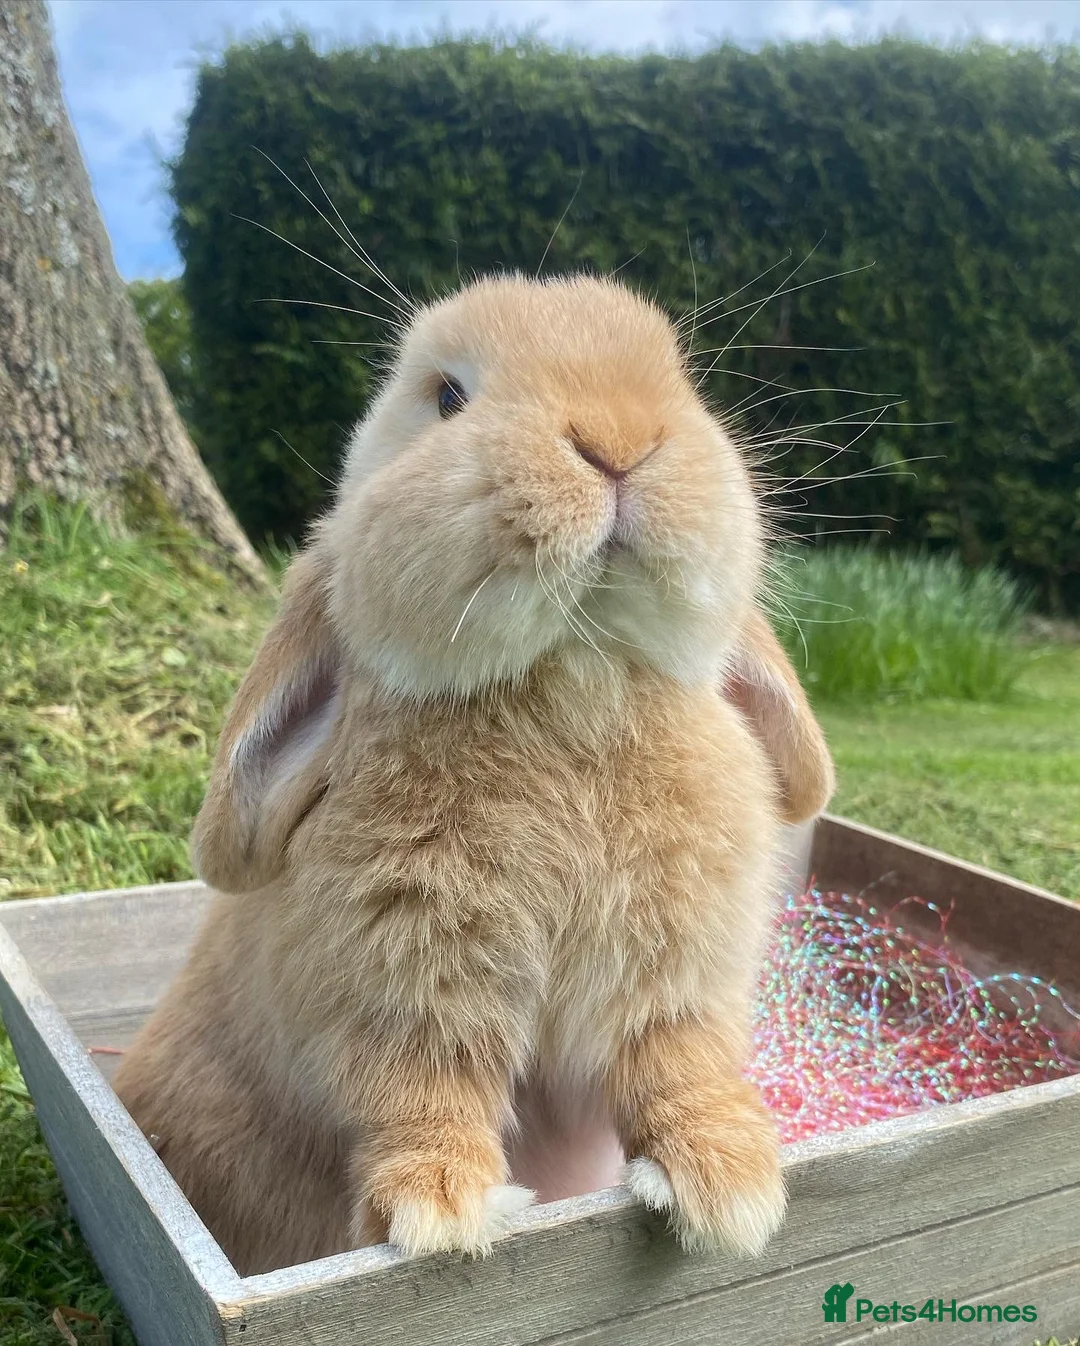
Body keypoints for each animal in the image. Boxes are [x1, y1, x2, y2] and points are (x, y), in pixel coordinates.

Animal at [113, 273, 834, 1276]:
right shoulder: (396, 991)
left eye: (683, 384)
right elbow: (422, 1094)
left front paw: (732, 1192)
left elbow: (678, 1068)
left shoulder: (677, 981)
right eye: (449, 396)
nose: (617, 440)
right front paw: (442, 1214)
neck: (572, 676)